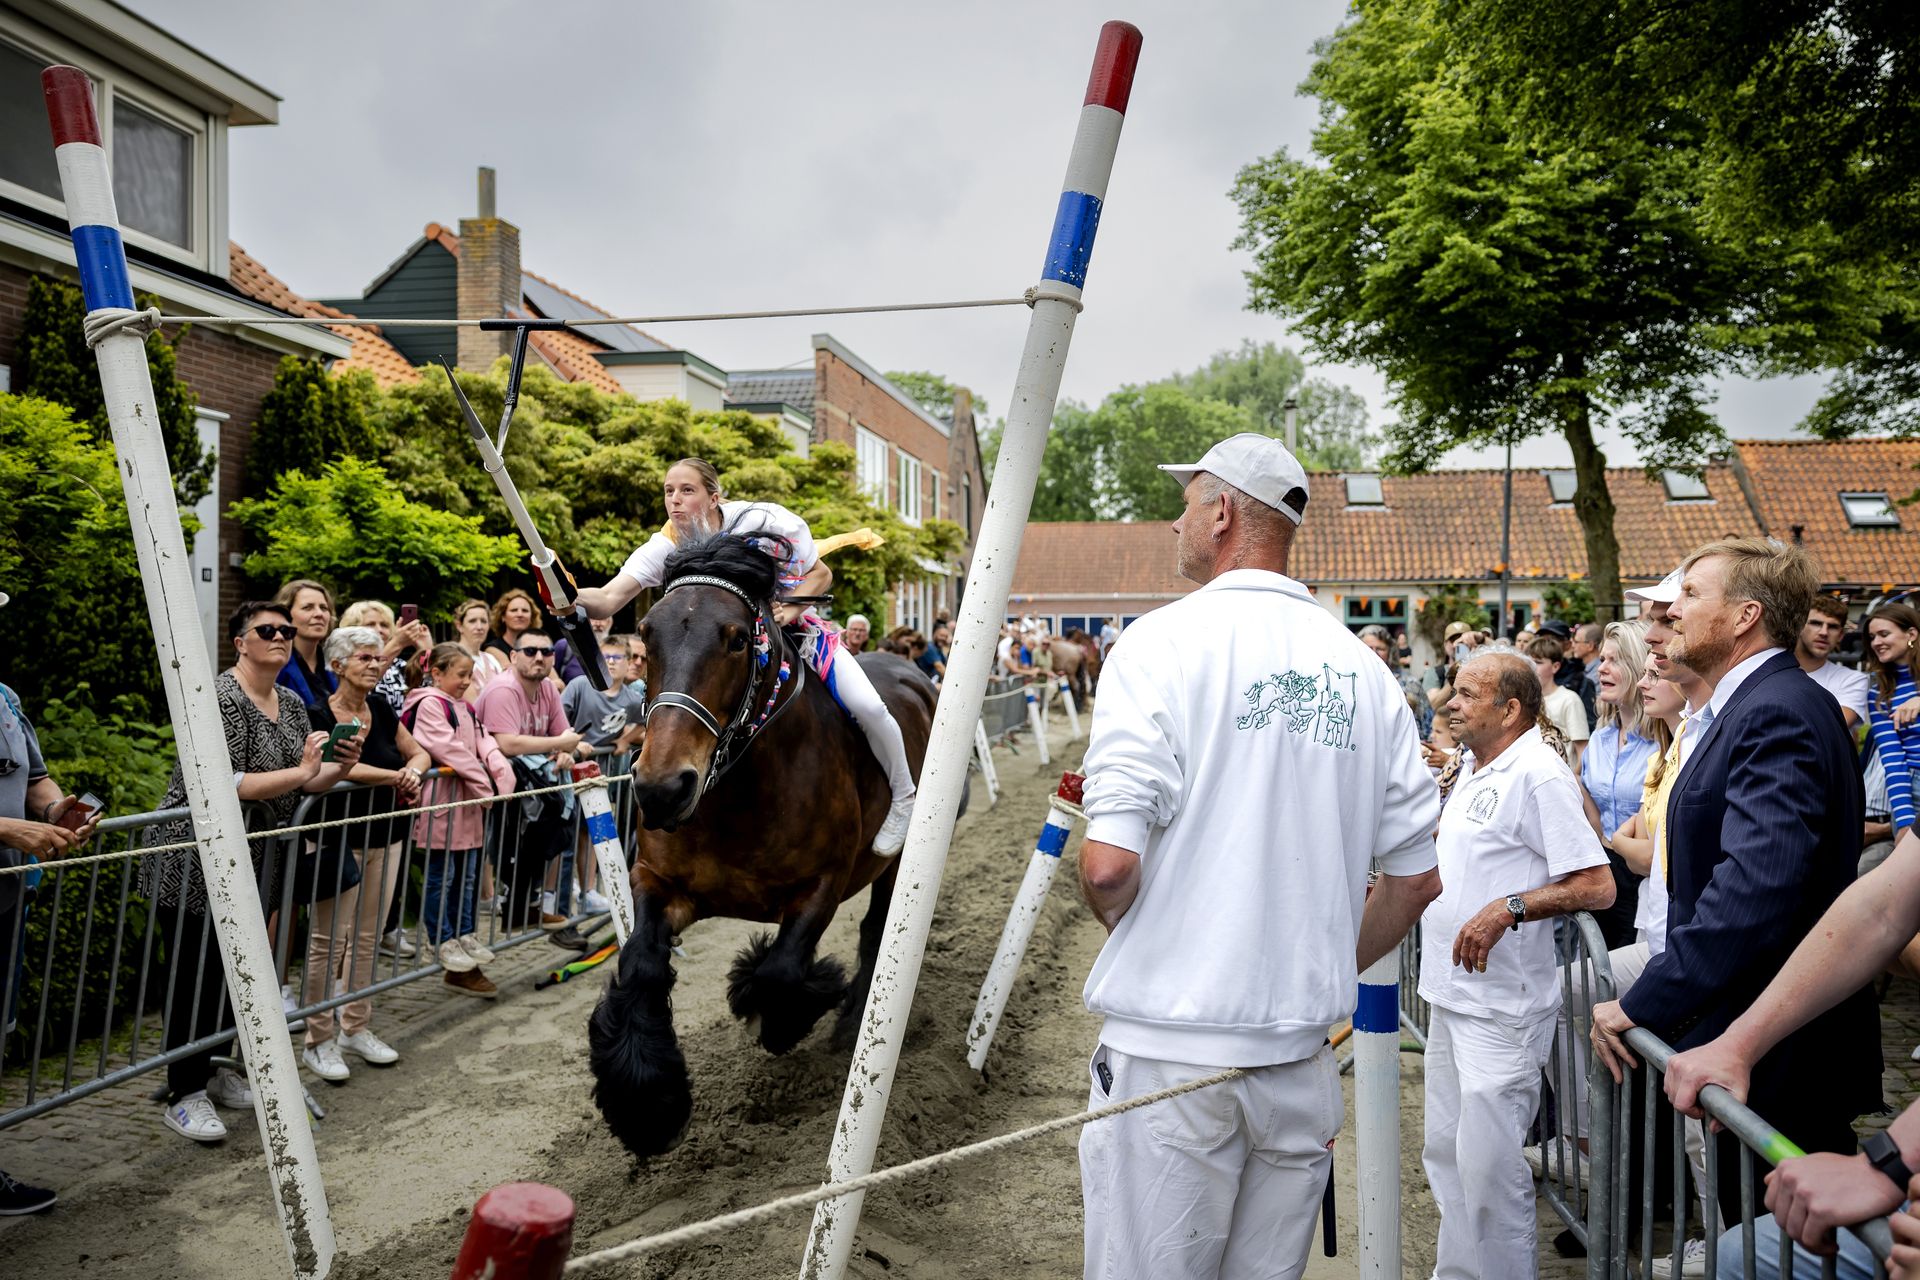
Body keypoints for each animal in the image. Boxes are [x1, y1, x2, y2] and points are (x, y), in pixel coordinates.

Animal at [587, 533, 940, 1159]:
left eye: (734, 639)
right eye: (646, 635)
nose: (660, 788)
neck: (737, 795)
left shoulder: (823, 884)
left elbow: (780, 971)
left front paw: (779, 1006)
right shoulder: (659, 881)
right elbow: (643, 963)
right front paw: (645, 1100)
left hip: (895, 862)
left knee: (879, 931)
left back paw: (853, 1022)